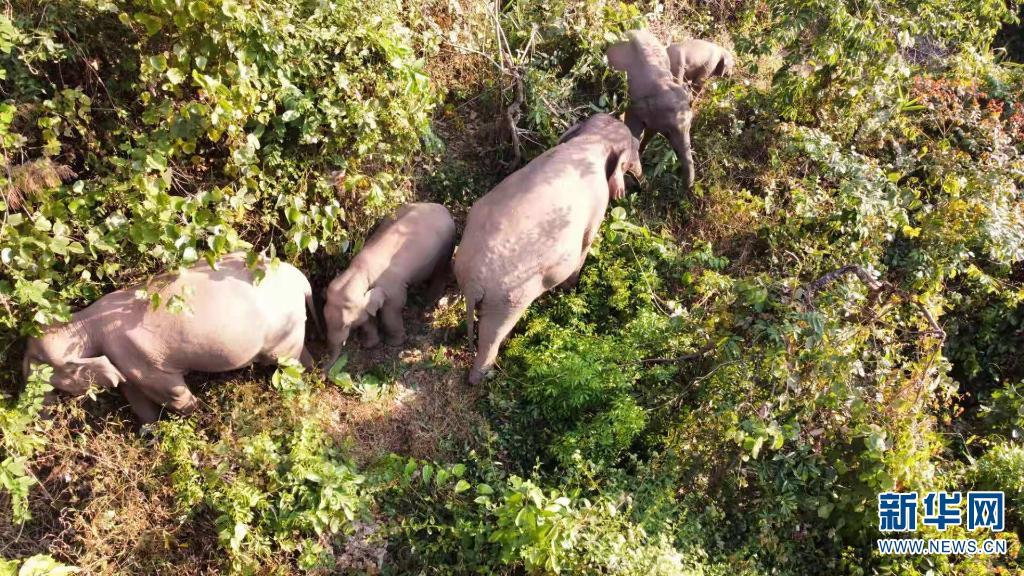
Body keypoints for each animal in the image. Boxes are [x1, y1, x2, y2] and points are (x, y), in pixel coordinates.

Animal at [24, 251, 319, 422]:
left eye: (39, 363)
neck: (84, 321)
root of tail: (301, 279)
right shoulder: (125, 362)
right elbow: (134, 394)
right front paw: (150, 432)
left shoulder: (137, 355)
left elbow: (172, 393)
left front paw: (194, 417)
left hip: (282, 332)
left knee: (287, 362)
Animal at [323, 200, 456, 362]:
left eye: (346, 325)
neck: (357, 271)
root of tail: (443, 208)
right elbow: (367, 317)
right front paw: (370, 344)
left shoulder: (392, 287)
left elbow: (392, 309)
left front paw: (394, 343)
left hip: (447, 245)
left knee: (440, 272)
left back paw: (429, 301)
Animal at [456, 112, 638, 383]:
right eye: (634, 144)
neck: (591, 140)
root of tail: (474, 283)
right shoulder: (599, 205)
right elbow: (586, 243)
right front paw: (570, 288)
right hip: (507, 299)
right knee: (493, 332)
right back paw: (484, 376)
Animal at [606, 29, 696, 188]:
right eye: (668, 133)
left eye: (690, 126)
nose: (681, 186)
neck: (663, 84)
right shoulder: (634, 105)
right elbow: (634, 135)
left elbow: (650, 133)